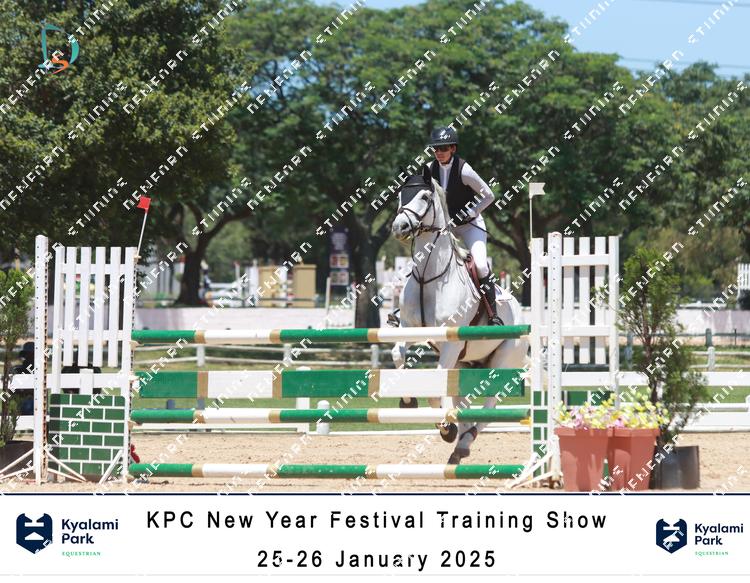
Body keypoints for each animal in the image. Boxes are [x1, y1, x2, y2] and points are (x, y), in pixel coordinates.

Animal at [390, 165, 528, 464]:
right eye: (399, 195)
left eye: (425, 197)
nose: (399, 227)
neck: (428, 277)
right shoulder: (408, 329)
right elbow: (397, 354)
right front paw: (408, 401)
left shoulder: (451, 344)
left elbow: (436, 386)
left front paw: (445, 427)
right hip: (465, 363)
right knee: (462, 401)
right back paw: (459, 442)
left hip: (502, 360)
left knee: (488, 406)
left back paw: (464, 439)